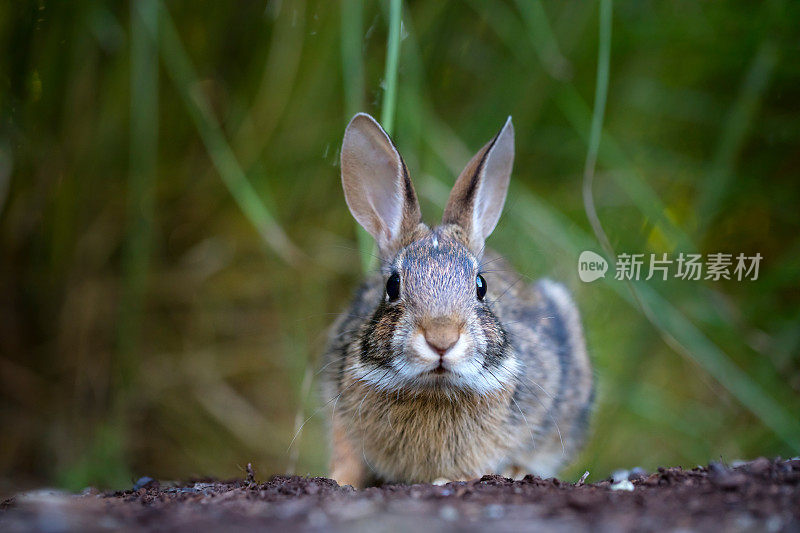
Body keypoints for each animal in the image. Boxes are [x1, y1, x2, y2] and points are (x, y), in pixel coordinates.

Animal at [320, 112, 592, 486]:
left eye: (480, 286)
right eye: (392, 285)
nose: (442, 339)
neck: (434, 388)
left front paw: (451, 479)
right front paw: (340, 480)